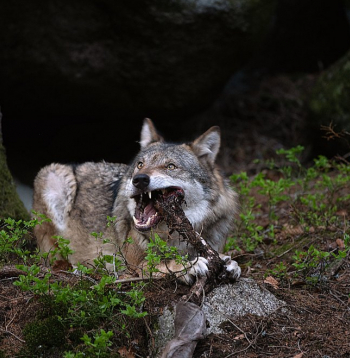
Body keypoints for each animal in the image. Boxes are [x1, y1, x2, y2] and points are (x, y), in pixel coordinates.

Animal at [32, 119, 241, 284]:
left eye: (171, 166)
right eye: (140, 164)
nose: (139, 179)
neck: (174, 238)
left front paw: (228, 263)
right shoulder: (133, 265)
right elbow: (160, 264)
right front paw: (187, 266)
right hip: (52, 174)